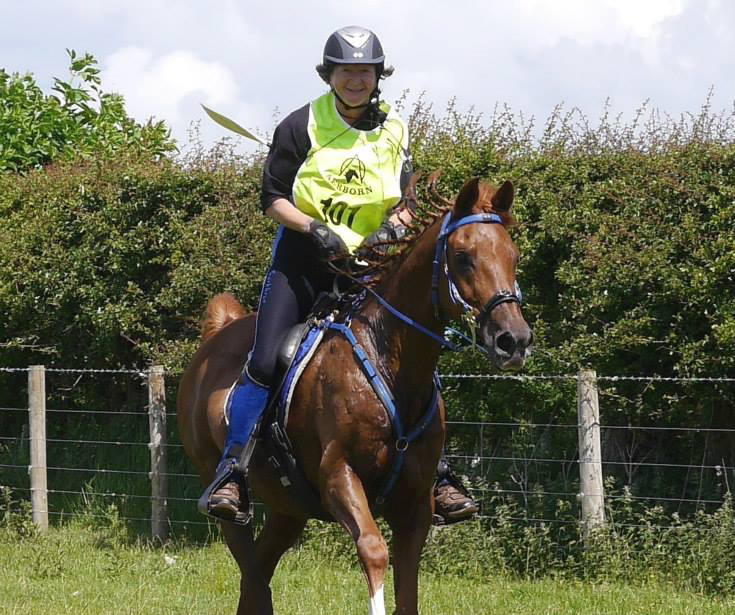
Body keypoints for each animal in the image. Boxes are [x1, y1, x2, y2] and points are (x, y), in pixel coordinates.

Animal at [178, 176, 536, 612]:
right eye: (464, 256)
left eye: (513, 256)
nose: (513, 340)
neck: (391, 361)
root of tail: (217, 334)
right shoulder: (339, 477)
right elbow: (373, 550)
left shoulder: (416, 503)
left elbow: (407, 585)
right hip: (222, 490)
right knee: (250, 567)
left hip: (288, 508)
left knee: (258, 573)